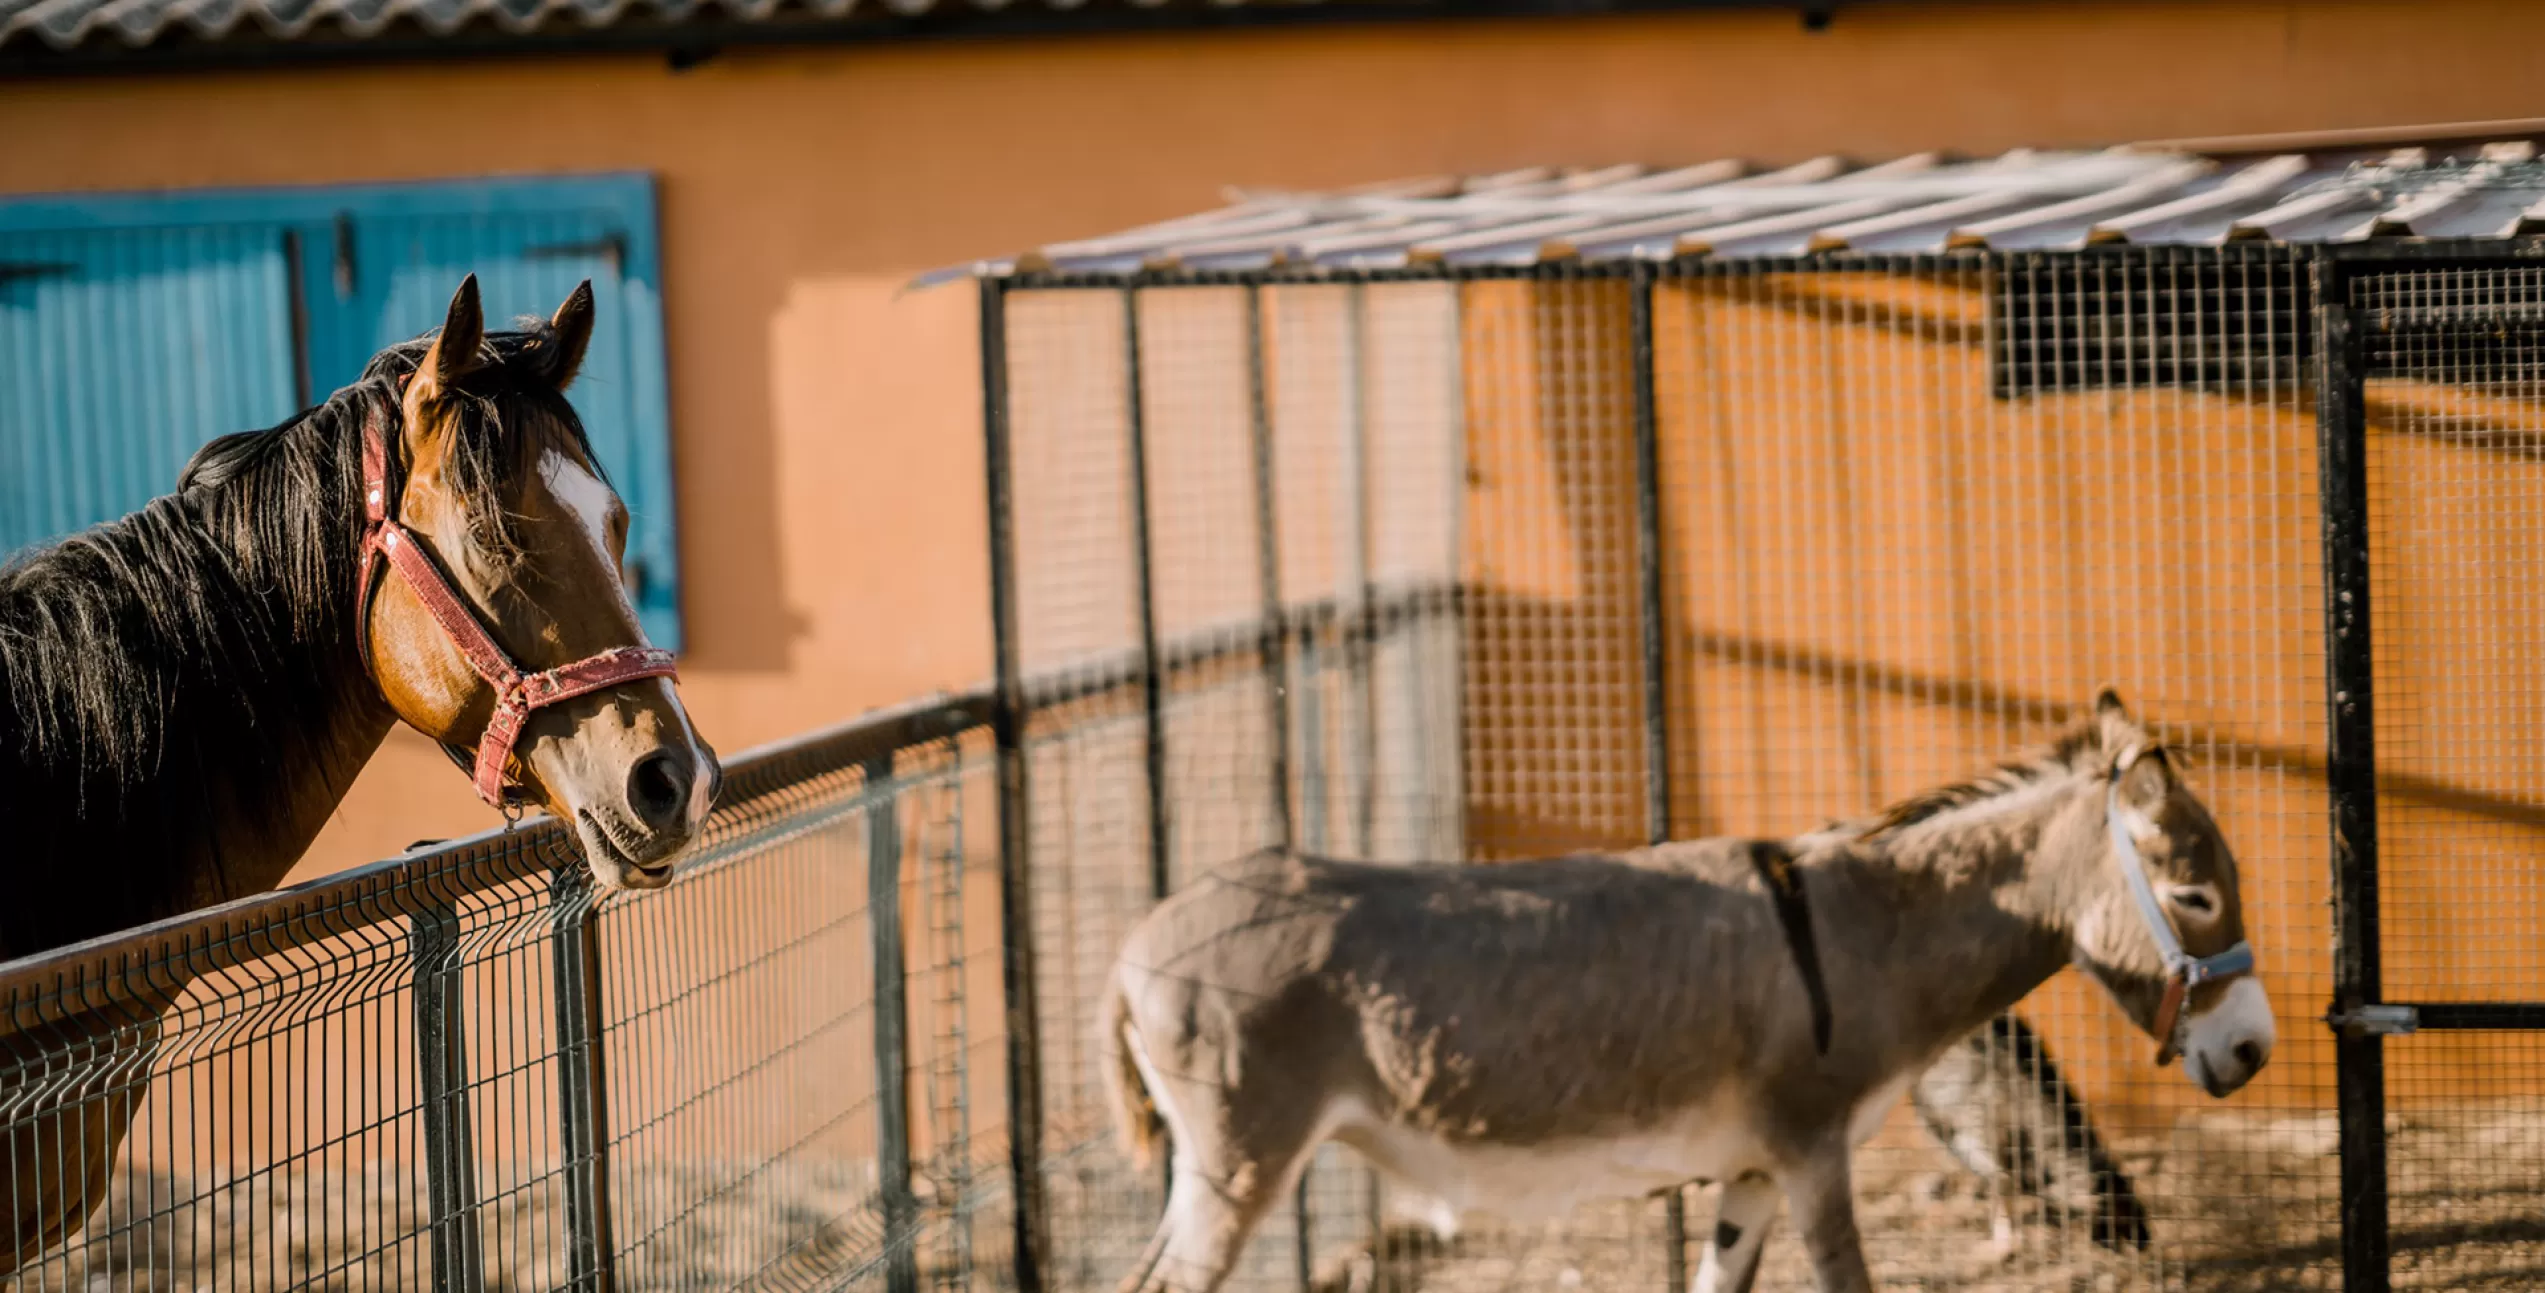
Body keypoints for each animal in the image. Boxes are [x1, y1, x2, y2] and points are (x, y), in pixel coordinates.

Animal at [1094, 692, 2270, 1293]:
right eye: (2196, 895)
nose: (2254, 1050)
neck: (1862, 928)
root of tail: (1135, 936)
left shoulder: (1748, 1170)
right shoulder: (1812, 1154)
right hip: (1239, 1162)